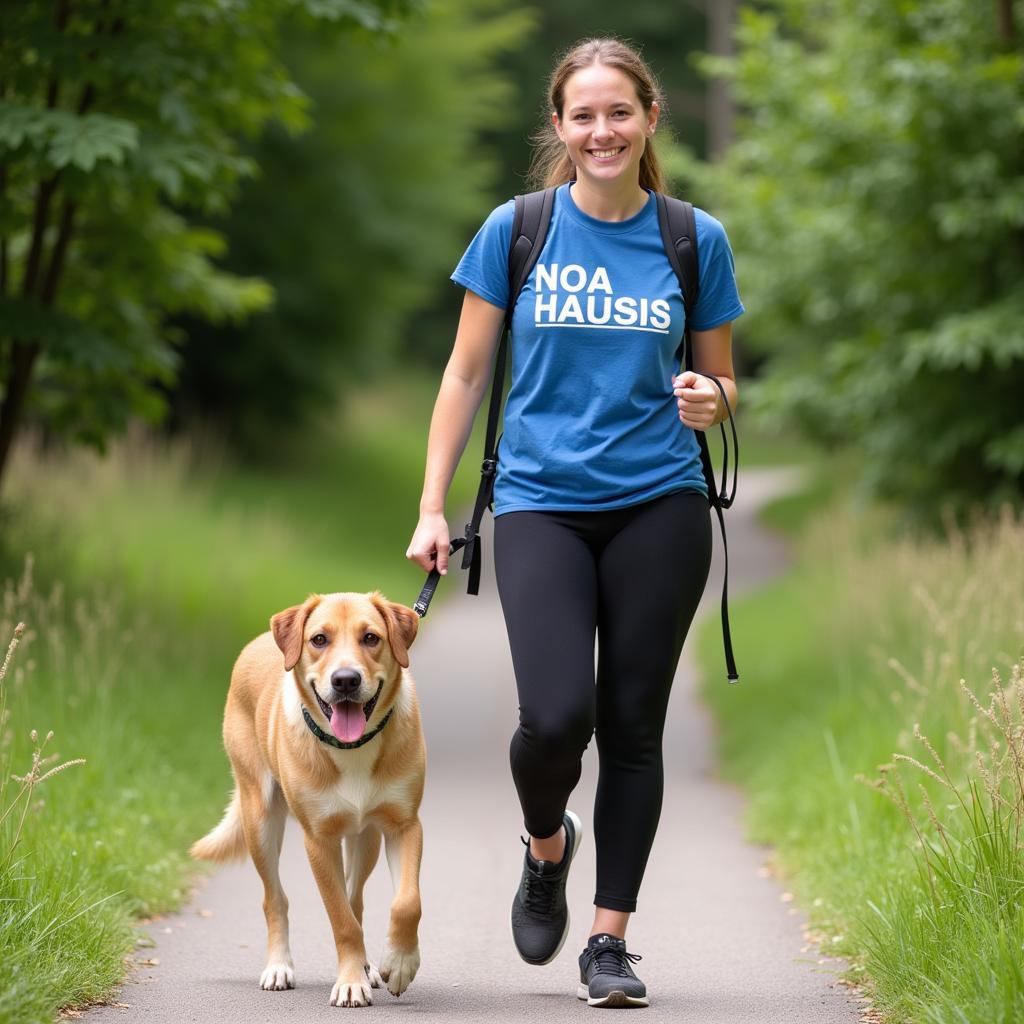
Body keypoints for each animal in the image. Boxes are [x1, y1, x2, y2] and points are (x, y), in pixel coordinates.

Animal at [191, 593, 423, 1007]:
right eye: (318, 639)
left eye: (370, 637)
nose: (345, 680)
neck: (352, 748)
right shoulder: (319, 840)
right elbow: (341, 919)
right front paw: (351, 982)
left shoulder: (404, 825)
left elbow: (406, 902)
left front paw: (398, 963)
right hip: (260, 819)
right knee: (275, 900)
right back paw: (278, 967)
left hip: (366, 838)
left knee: (355, 896)